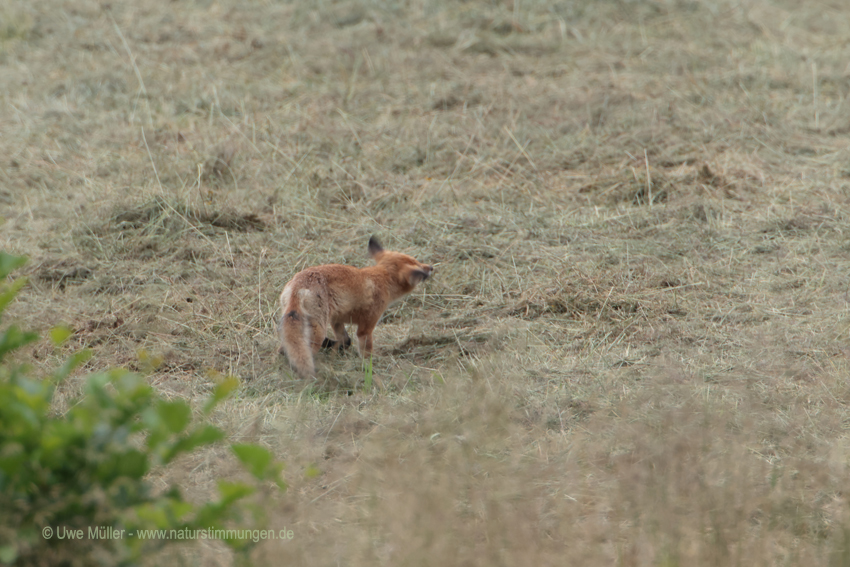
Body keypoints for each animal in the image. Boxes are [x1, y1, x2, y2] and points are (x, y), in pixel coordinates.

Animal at [280, 237, 430, 380]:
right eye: (416, 264)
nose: (430, 267)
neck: (382, 278)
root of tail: (298, 286)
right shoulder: (366, 326)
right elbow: (366, 352)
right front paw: (369, 367)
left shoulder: (336, 319)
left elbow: (346, 340)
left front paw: (335, 347)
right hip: (318, 331)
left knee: (285, 349)